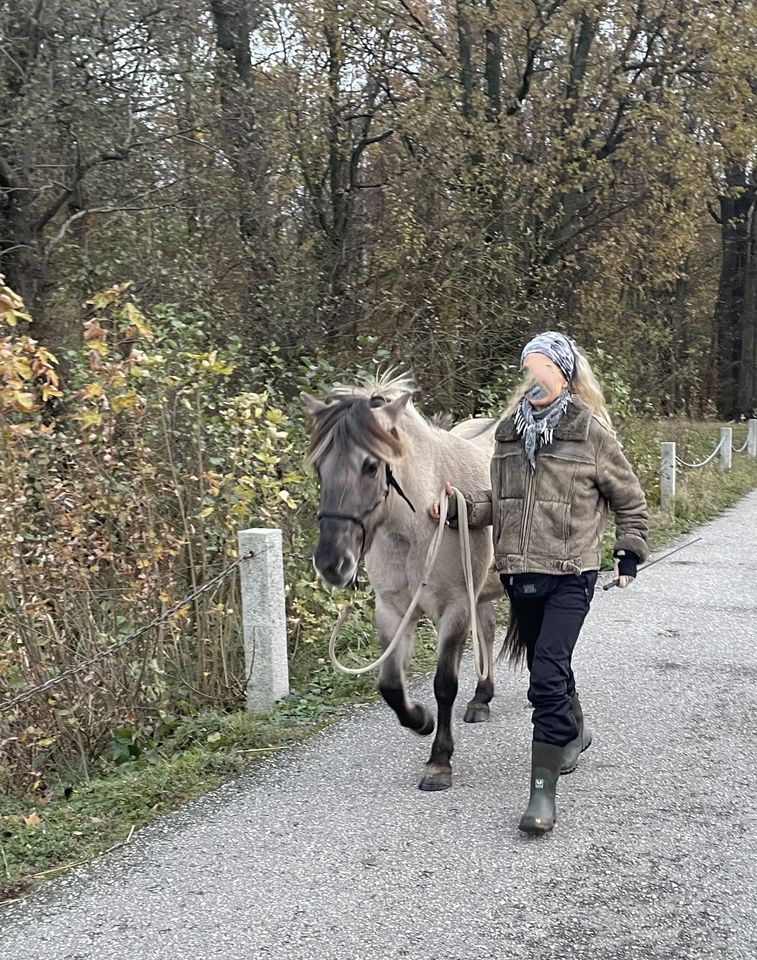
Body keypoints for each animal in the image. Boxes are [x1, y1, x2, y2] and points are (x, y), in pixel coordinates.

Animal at [302, 372, 508, 792]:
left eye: (370, 466)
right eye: (318, 467)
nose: (331, 563)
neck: (416, 529)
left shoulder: (454, 610)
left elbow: (444, 683)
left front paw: (439, 761)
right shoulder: (393, 611)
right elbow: (391, 686)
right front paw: (421, 720)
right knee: (488, 631)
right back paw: (481, 699)